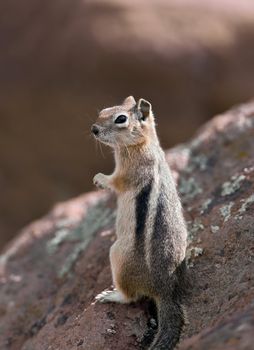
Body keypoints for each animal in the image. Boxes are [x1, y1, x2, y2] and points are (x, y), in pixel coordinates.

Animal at [91, 96, 187, 350]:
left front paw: (99, 179)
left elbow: (115, 182)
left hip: (118, 256)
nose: (93, 129)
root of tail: (164, 290)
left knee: (131, 297)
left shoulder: (127, 173)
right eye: (103, 110)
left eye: (121, 119)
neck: (142, 144)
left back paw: (110, 295)